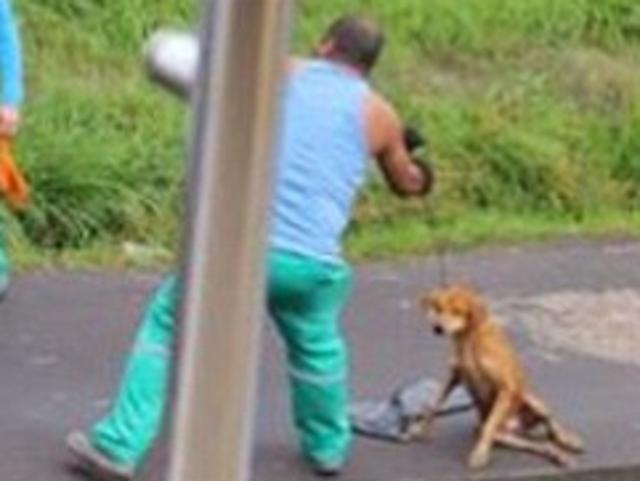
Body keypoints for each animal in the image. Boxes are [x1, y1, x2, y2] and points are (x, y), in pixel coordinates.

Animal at [410, 284, 584, 468]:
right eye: (438, 308)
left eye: (457, 311)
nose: (437, 328)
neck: (468, 340)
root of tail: (514, 425)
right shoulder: (454, 377)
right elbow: (434, 404)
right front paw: (420, 429)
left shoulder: (506, 387)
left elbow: (489, 426)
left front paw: (479, 454)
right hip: (504, 436)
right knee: (541, 444)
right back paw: (557, 455)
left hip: (532, 400)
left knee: (551, 423)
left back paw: (568, 439)